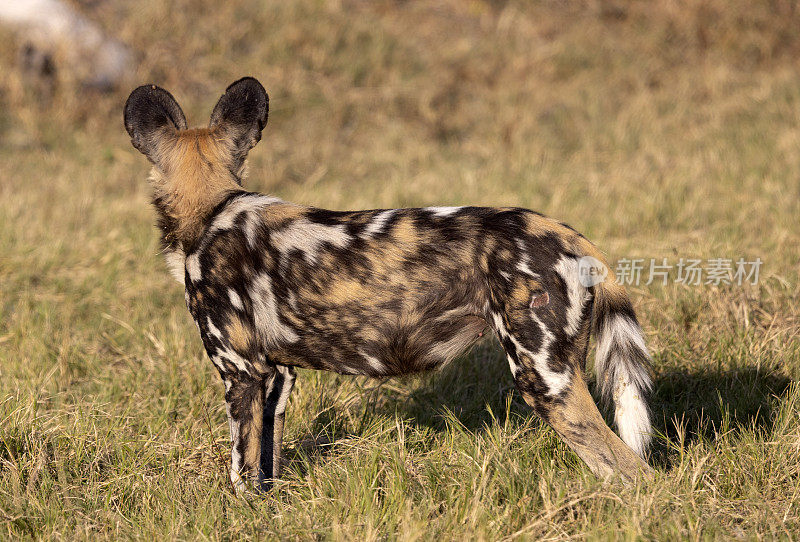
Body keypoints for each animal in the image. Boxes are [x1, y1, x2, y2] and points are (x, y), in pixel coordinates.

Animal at [122, 79, 652, 492]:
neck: (210, 208)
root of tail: (568, 233)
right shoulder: (278, 376)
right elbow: (268, 464)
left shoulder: (243, 373)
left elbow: (242, 470)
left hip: (544, 379)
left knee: (630, 470)